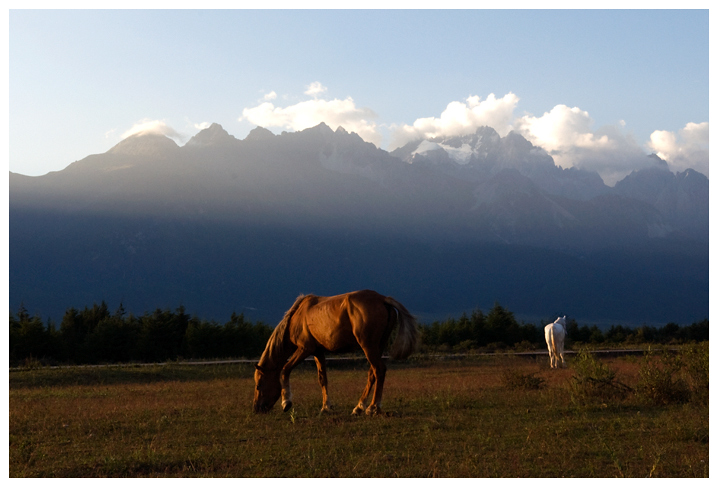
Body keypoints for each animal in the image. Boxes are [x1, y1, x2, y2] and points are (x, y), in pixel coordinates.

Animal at [255, 290, 420, 416]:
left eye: (259, 384)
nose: (256, 408)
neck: (298, 317)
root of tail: (382, 299)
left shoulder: (304, 349)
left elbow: (285, 370)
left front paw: (286, 402)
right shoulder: (318, 352)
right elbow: (322, 379)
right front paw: (326, 407)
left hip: (368, 347)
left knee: (379, 370)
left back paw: (373, 407)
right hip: (377, 347)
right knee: (372, 373)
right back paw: (359, 407)